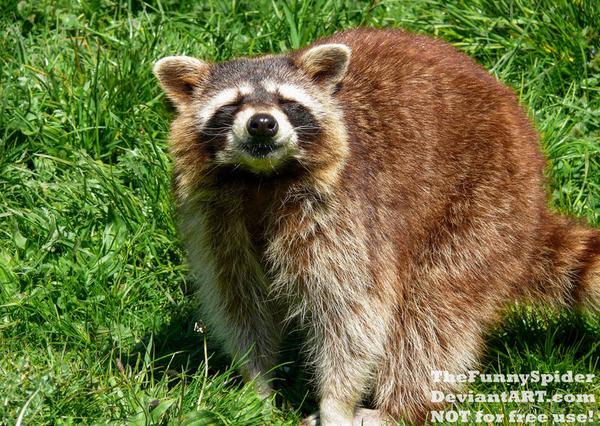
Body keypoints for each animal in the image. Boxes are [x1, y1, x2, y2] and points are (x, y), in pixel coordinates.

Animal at [152, 28, 596, 424]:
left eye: (287, 102)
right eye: (233, 104)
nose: (262, 123)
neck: (262, 179)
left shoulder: (346, 217)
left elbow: (354, 314)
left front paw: (335, 403)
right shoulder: (215, 221)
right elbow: (241, 304)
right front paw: (257, 385)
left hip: (486, 200)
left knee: (433, 312)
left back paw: (401, 407)